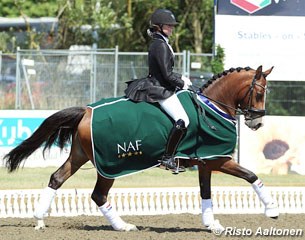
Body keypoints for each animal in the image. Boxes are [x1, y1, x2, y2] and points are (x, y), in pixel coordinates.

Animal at [2, 65, 278, 232]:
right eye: (259, 93)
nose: (257, 123)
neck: (213, 107)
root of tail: (86, 111)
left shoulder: (206, 161)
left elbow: (205, 193)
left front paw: (213, 225)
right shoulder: (219, 160)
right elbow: (252, 176)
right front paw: (272, 209)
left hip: (80, 155)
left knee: (57, 178)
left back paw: (39, 219)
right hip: (110, 164)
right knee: (98, 195)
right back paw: (123, 226)